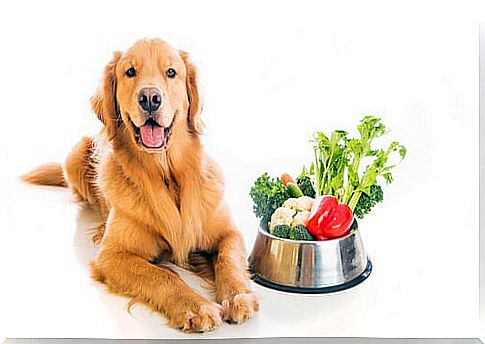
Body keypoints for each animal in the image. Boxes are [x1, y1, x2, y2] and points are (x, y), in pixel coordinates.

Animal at [22, 38, 260, 334]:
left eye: (171, 72)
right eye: (130, 72)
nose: (149, 98)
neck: (166, 174)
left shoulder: (228, 232)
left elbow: (230, 259)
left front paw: (239, 297)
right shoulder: (112, 256)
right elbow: (161, 275)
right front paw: (196, 307)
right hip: (76, 154)